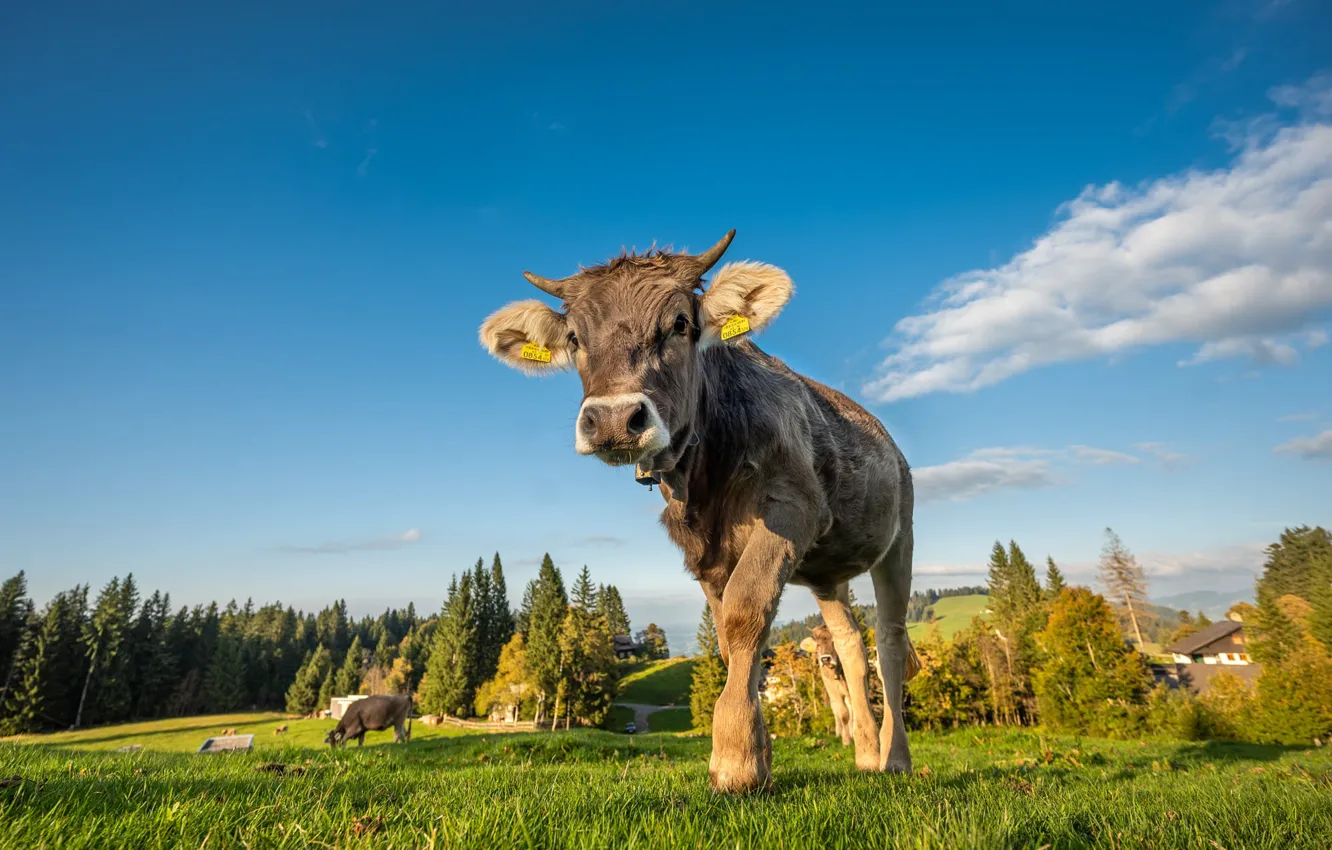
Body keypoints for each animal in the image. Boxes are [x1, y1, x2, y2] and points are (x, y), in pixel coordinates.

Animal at [478, 230, 921, 794]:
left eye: (680, 325)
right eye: (574, 338)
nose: (614, 419)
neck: (704, 474)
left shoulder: (794, 509)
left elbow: (745, 610)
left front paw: (736, 759)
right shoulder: (703, 551)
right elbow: (731, 642)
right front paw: (754, 753)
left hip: (900, 537)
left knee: (890, 643)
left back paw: (895, 758)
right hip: (829, 574)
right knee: (850, 649)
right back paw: (866, 754)